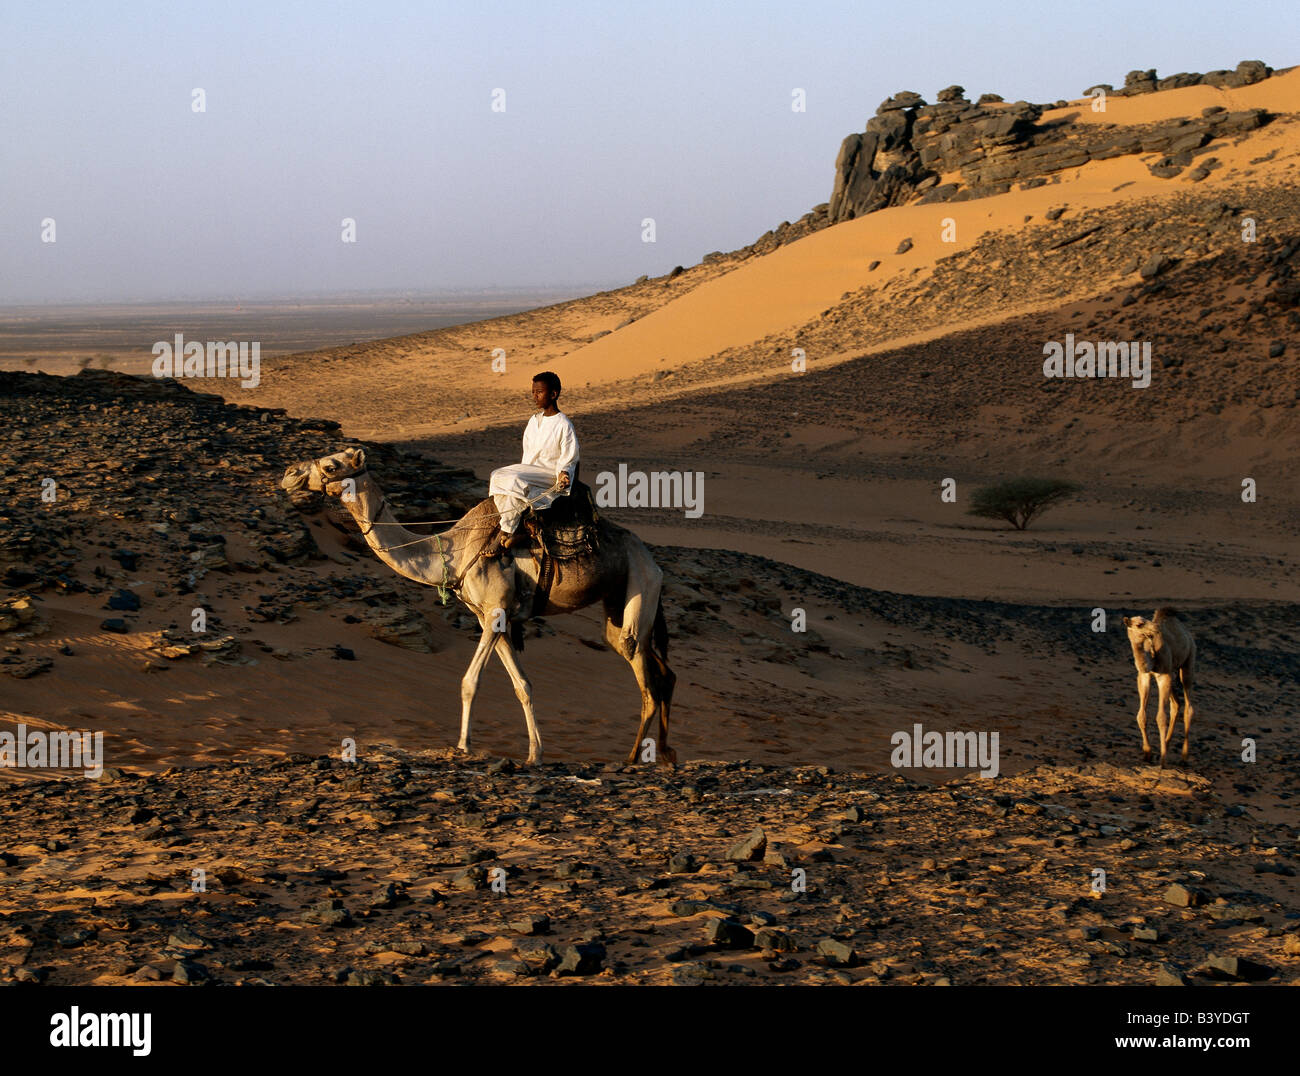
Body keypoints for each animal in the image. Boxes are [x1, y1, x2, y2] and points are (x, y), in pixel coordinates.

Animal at [278, 444, 676, 764]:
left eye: (331, 466)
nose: (289, 474)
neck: (453, 553)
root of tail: (653, 562)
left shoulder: (496, 610)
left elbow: (469, 681)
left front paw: (463, 746)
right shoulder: (491, 617)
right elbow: (523, 685)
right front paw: (535, 754)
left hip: (638, 590)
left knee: (646, 681)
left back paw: (633, 758)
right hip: (620, 604)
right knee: (660, 670)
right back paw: (667, 754)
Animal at [1118, 608, 1196, 769]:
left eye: (1145, 620)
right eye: (1139, 624)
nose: (1156, 628)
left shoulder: (1164, 676)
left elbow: (1161, 717)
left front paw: (1163, 760)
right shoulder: (1144, 676)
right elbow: (1141, 716)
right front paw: (1148, 753)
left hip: (1188, 661)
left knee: (1188, 708)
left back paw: (1184, 756)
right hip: (1172, 672)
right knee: (1176, 704)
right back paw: (1166, 743)